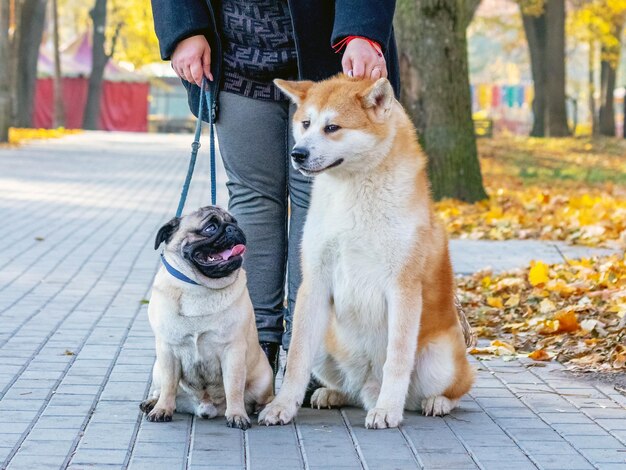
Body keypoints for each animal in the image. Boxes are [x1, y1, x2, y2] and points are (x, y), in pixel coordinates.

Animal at [141, 206, 272, 430]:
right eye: (210, 228)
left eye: (234, 221)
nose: (232, 229)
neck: (198, 287)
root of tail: (204, 407)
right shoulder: (167, 351)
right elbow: (168, 385)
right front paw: (162, 409)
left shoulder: (233, 352)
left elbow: (234, 387)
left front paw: (237, 415)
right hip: (157, 369)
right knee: (164, 390)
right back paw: (152, 403)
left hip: (264, 379)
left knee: (262, 397)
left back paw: (264, 409)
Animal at [258, 74, 472, 430]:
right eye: (306, 123)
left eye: (332, 127)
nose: (297, 153)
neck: (354, 193)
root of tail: (367, 385)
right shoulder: (314, 283)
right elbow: (297, 357)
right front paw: (282, 406)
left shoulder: (402, 288)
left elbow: (397, 359)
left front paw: (387, 410)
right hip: (326, 342)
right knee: (349, 390)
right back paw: (331, 394)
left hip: (439, 359)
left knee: (455, 390)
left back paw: (434, 402)